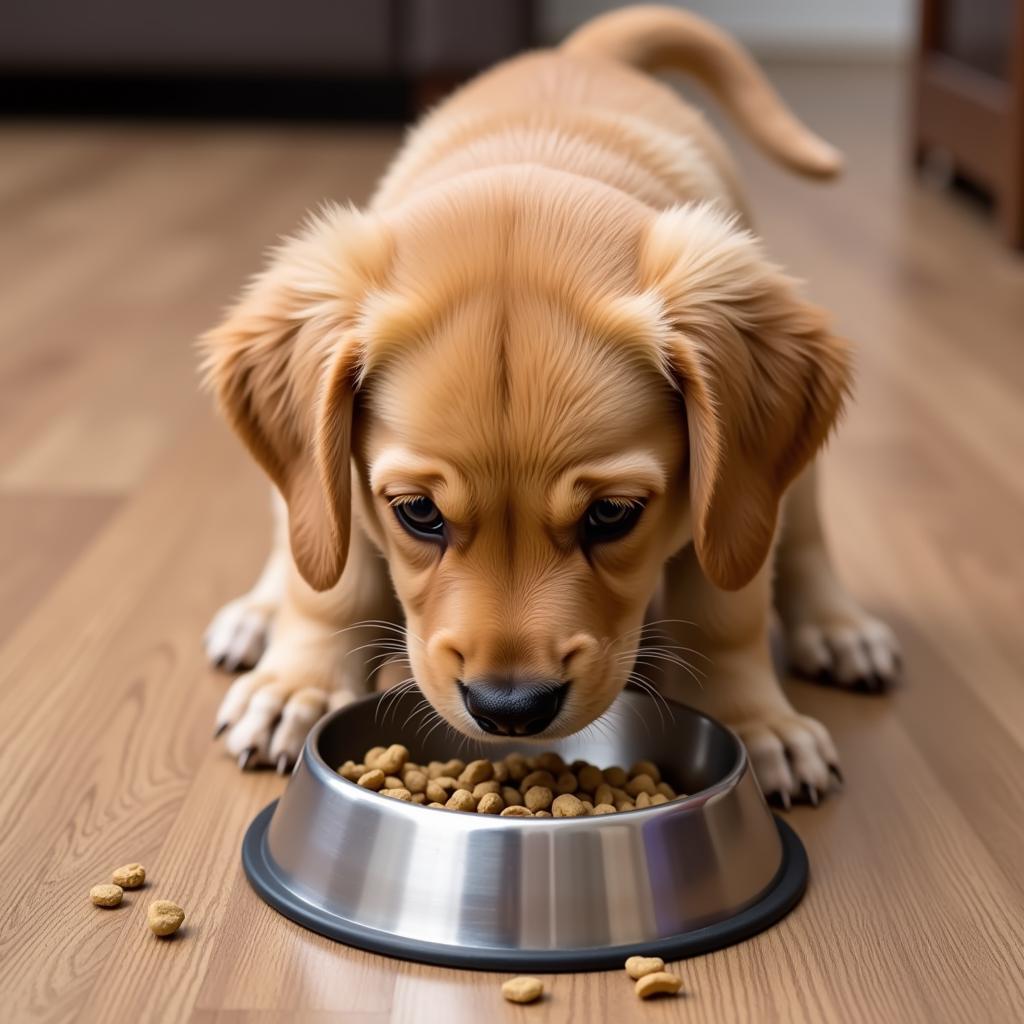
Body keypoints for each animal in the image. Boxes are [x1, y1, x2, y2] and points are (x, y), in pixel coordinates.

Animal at [199, 9, 897, 806]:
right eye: (418, 513)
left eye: (612, 514)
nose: (510, 709)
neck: (537, 158)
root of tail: (581, 54)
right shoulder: (334, 469)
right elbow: (329, 586)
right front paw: (300, 687)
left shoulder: (727, 491)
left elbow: (728, 606)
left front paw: (756, 722)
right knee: (297, 537)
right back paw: (257, 618)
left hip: (783, 475)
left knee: (801, 535)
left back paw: (840, 627)